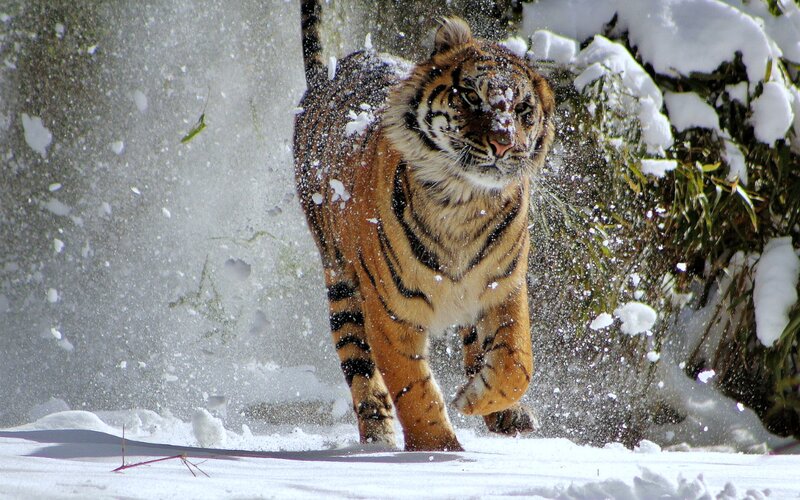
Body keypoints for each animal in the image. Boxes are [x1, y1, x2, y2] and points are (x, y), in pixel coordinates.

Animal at [293, 1, 555, 451]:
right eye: (471, 96)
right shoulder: (390, 311)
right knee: (359, 366)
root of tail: (327, 74)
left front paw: (475, 400)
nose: (503, 143)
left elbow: (517, 361)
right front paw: (437, 451)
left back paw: (505, 413)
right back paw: (377, 434)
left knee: (478, 347)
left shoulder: (503, 286)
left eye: (523, 111)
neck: (464, 202)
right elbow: (413, 389)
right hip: (341, 281)